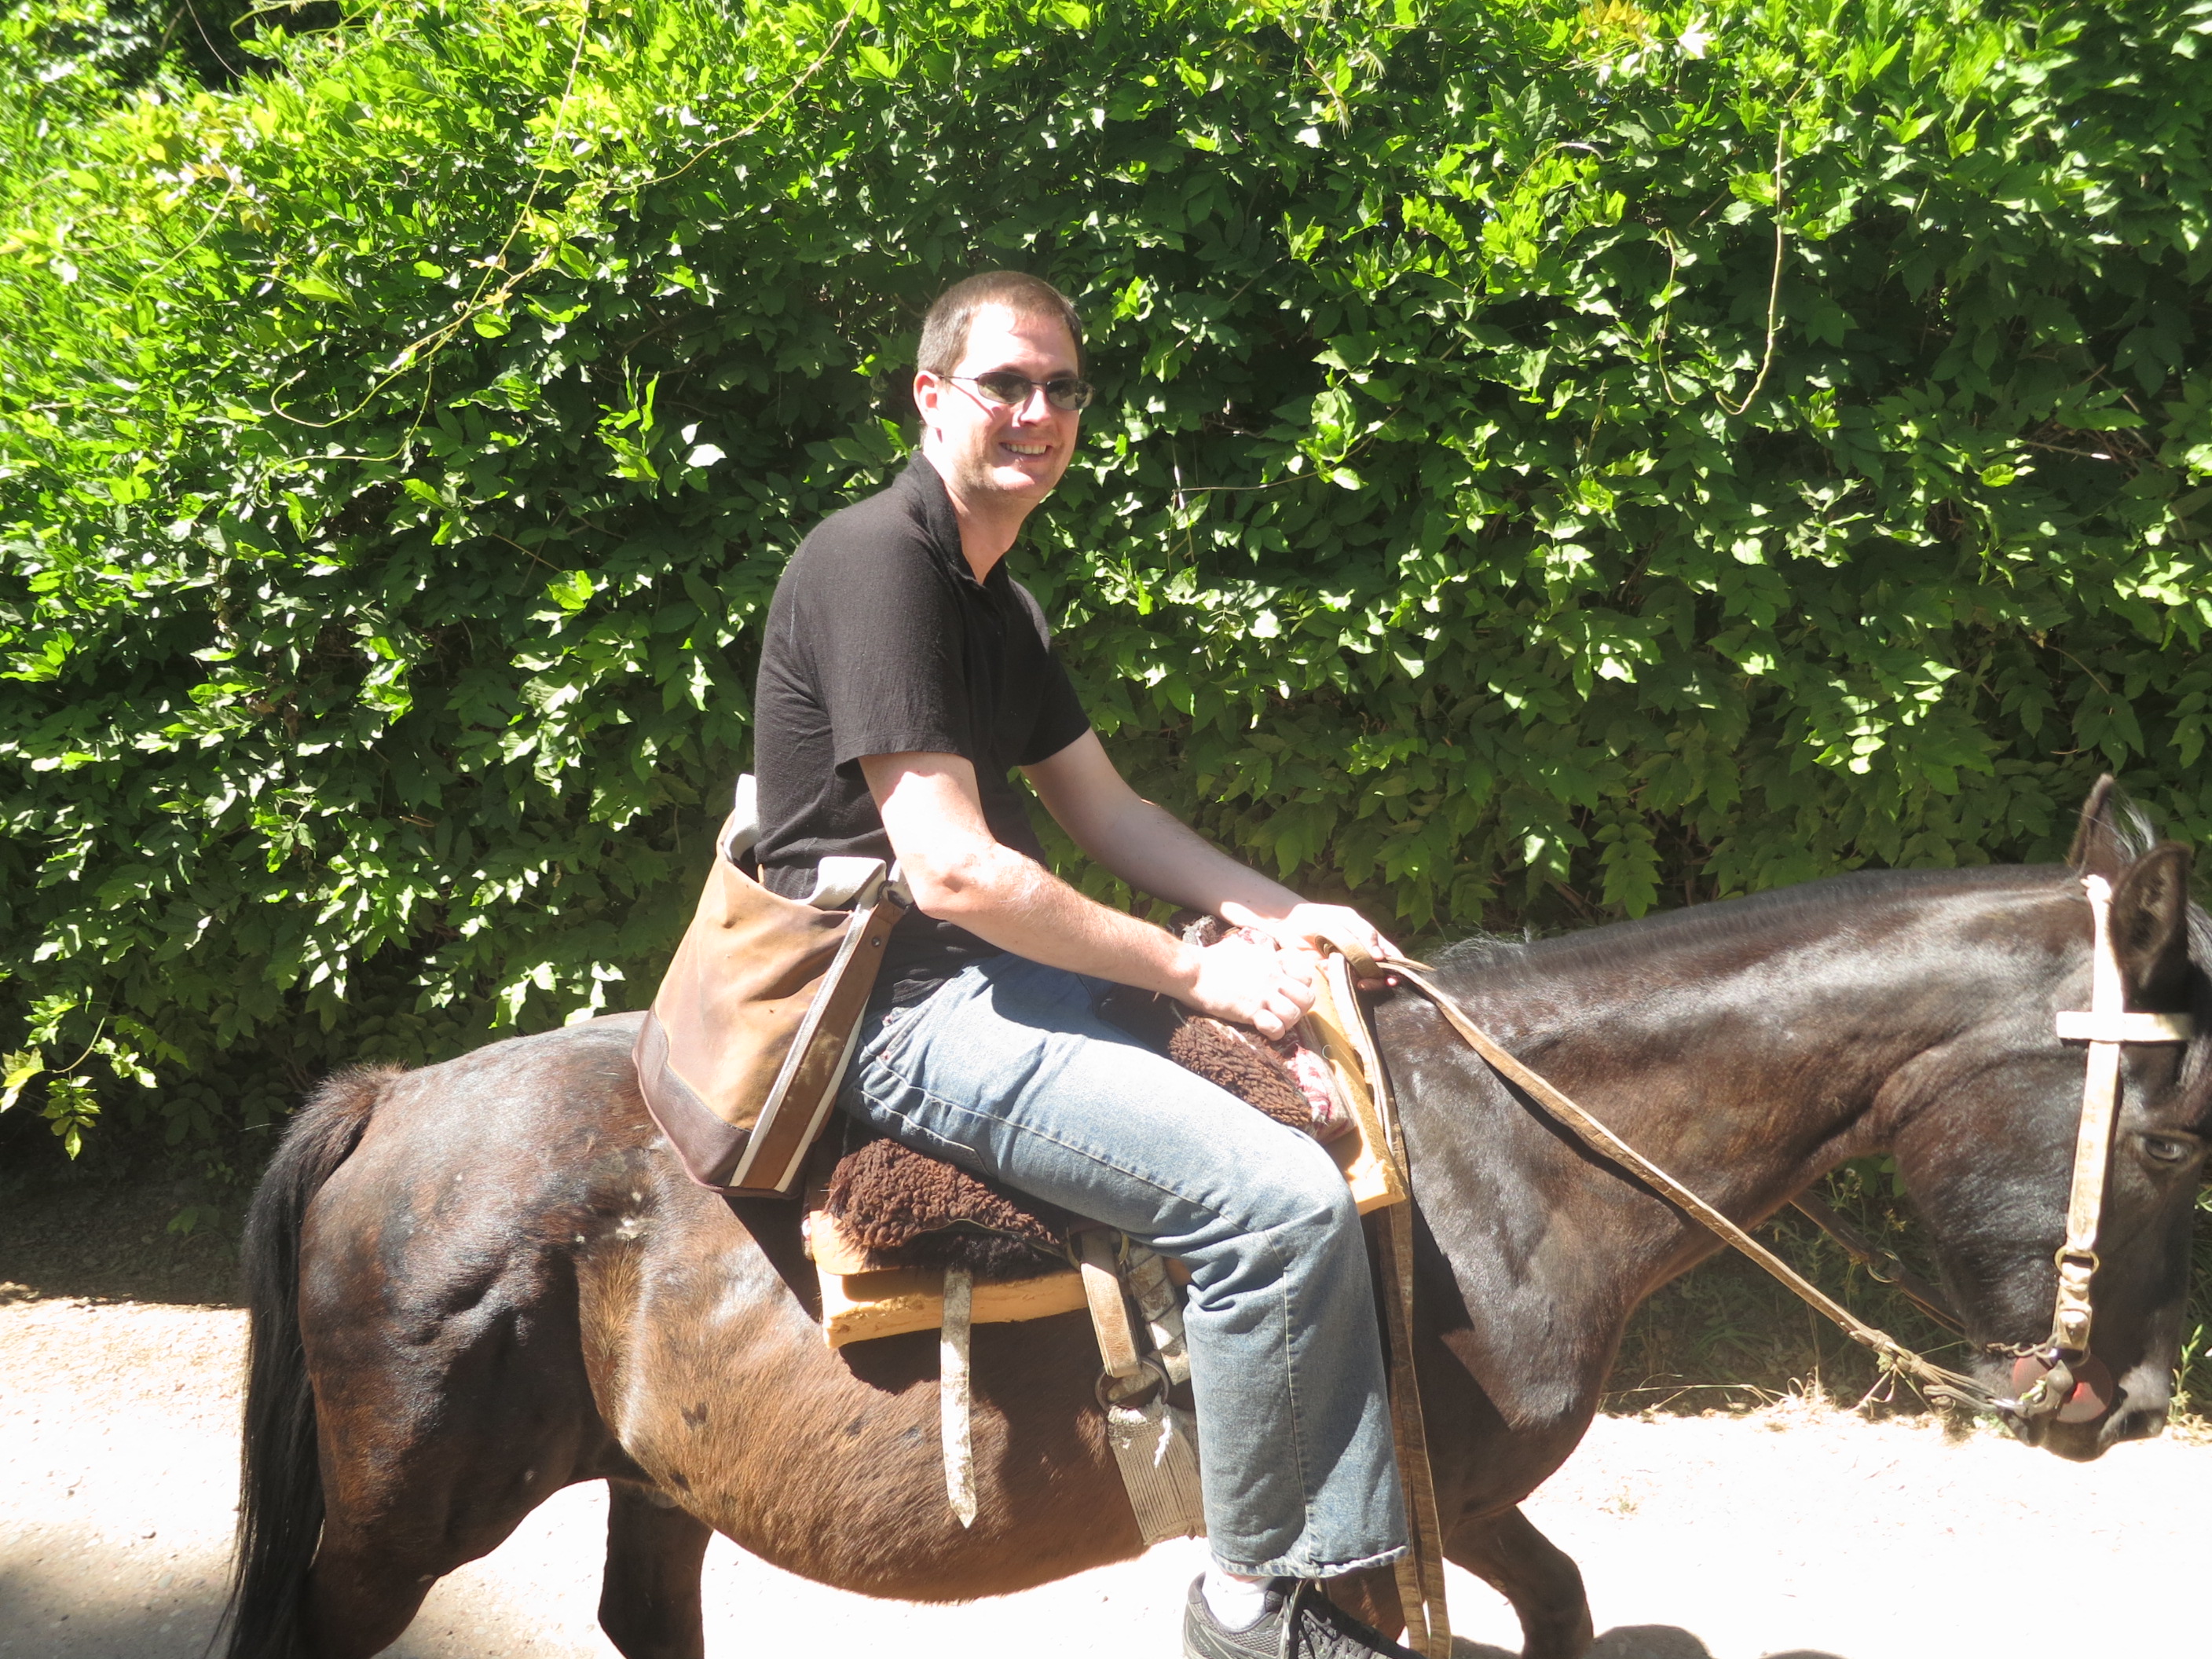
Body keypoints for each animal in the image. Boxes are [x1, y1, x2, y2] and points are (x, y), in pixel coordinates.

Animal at [220, 782, 2212, 1659]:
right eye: (2185, 1131)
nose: (2117, 1404)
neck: (1500, 1157)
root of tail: (388, 1098)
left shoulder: (1444, 1499)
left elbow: (1563, 1604)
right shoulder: (1397, 1506)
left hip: (652, 1480)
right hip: (405, 1509)